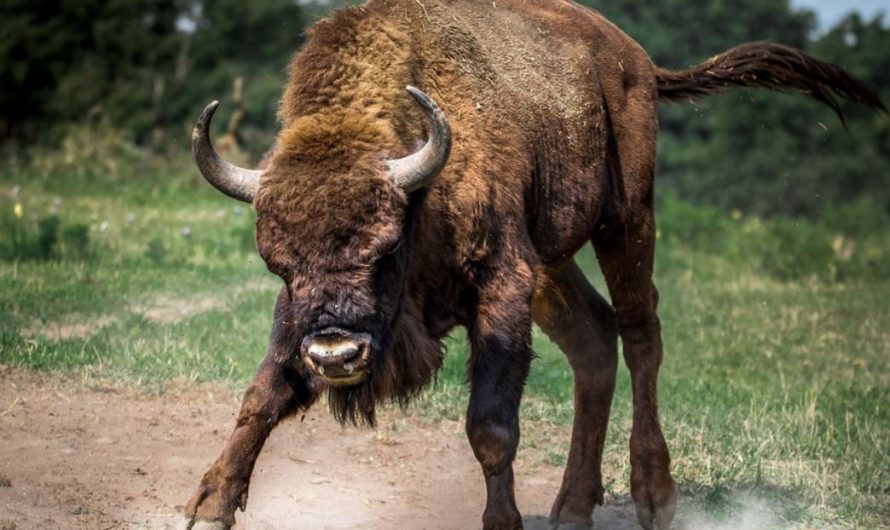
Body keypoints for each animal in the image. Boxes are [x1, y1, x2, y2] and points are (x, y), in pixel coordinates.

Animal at [181, 1, 884, 529]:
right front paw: (210, 505)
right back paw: (572, 508)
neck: (421, 186)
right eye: (279, 264)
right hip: (553, 261)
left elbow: (491, 426)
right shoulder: (300, 317)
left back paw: (655, 496)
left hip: (626, 221)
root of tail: (634, 60)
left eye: (385, 249)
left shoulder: (503, 285)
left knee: (641, 334)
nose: (335, 354)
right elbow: (263, 393)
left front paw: (504, 521)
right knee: (594, 340)